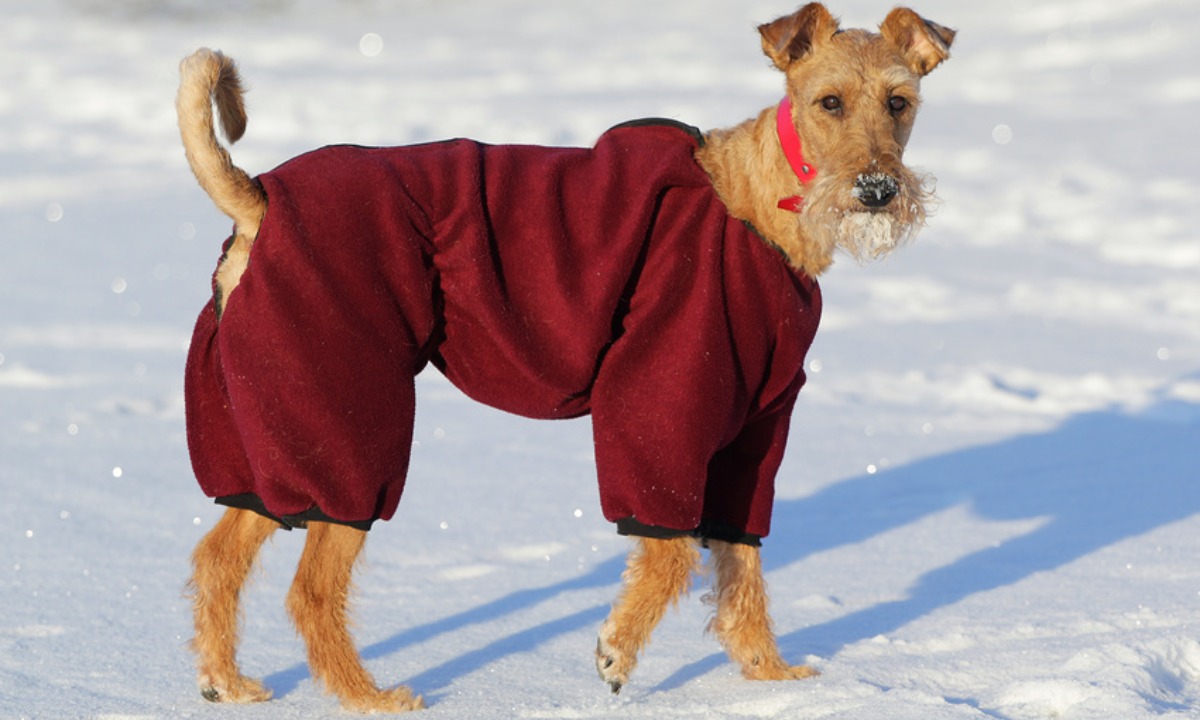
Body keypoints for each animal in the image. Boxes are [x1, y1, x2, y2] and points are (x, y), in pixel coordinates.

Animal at [177, 4, 950, 715]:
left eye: (899, 101)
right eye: (829, 102)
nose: (878, 190)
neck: (762, 206)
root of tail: (259, 199)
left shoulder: (756, 431)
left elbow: (742, 565)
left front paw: (770, 678)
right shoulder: (662, 400)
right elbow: (670, 548)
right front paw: (617, 653)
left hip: (274, 430)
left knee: (219, 555)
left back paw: (226, 682)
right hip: (349, 428)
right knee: (310, 589)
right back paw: (369, 696)